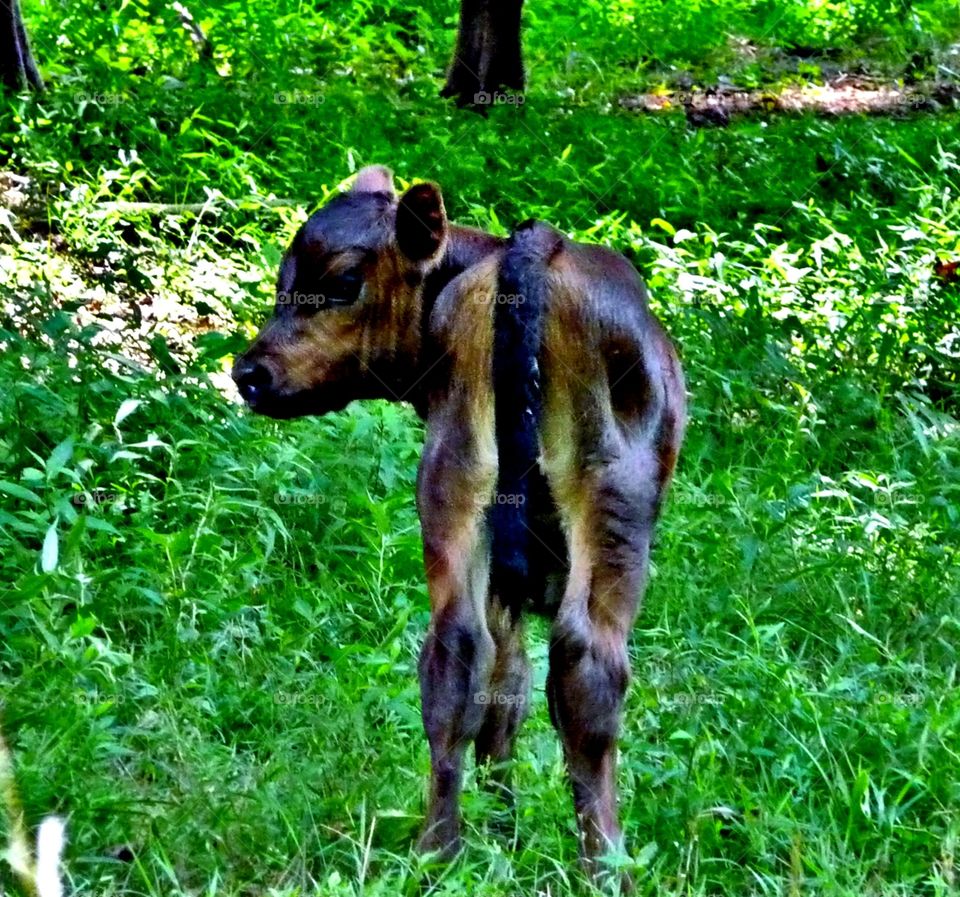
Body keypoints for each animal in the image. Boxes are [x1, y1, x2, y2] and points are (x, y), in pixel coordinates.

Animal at [232, 165, 686, 886]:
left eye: (343, 281)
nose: (250, 372)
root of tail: (531, 257)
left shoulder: (503, 577)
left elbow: (502, 693)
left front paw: (504, 834)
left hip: (453, 482)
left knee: (454, 653)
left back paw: (437, 852)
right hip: (615, 501)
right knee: (587, 669)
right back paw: (605, 867)